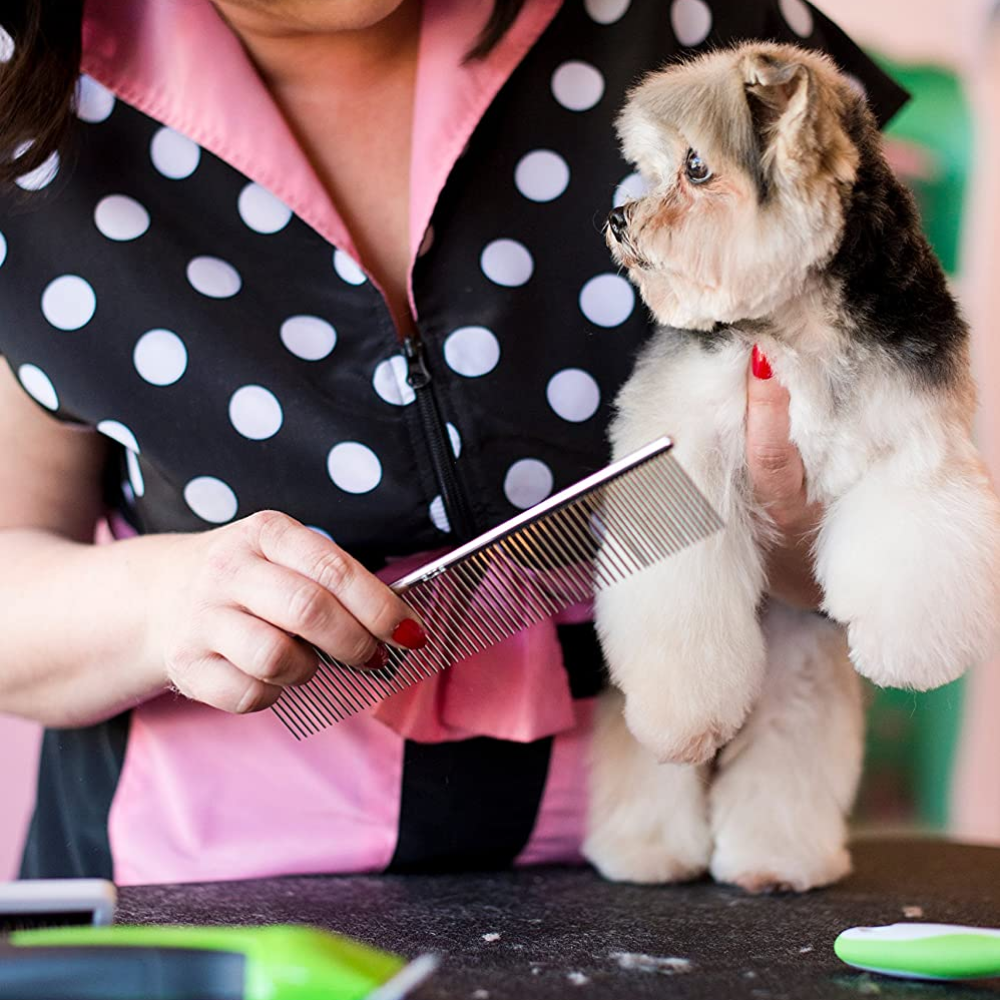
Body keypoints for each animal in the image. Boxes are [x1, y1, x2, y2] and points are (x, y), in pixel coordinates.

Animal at [583, 42, 1000, 892]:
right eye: (650, 167)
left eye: (696, 168)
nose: (618, 216)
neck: (797, 321)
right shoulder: (685, 451)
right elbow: (679, 596)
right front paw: (683, 712)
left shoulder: (917, 436)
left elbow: (917, 529)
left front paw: (907, 649)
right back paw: (648, 847)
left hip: (800, 659)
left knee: (787, 745)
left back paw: (776, 859)